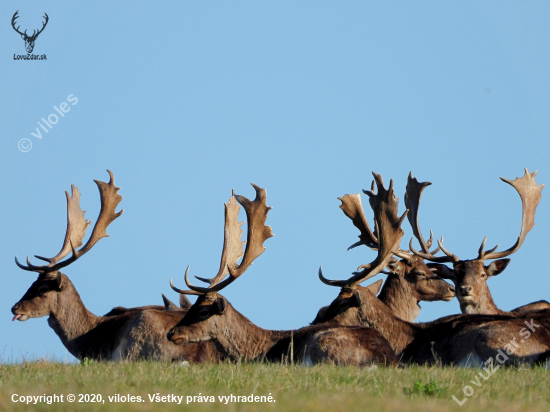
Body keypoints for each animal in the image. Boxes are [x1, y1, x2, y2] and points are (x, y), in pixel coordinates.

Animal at [166, 182, 404, 366]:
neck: (258, 348)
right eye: (193, 306)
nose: (171, 333)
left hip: (324, 344)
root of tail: (384, 360)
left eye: (202, 311)